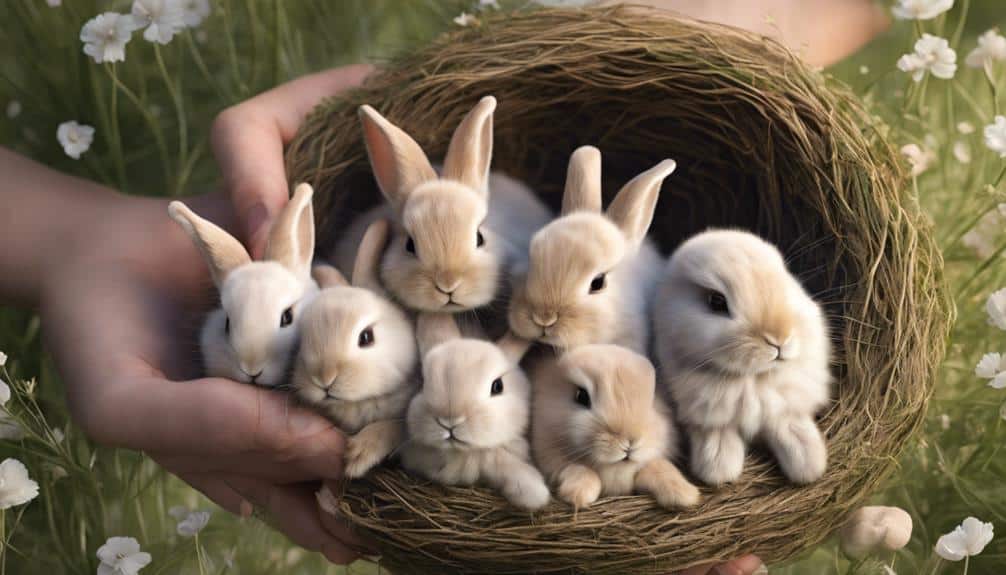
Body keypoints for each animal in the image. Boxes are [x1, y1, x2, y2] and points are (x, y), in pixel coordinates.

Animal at [531, 344, 700, 510]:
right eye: (581, 396)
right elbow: (578, 468)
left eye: (653, 398)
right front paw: (578, 494)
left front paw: (684, 495)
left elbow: (659, 466)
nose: (630, 441)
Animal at [653, 229, 832, 486]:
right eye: (716, 301)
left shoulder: (783, 408)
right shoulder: (706, 416)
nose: (779, 338)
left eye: (787, 279)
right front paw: (718, 469)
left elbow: (791, 428)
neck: (752, 379)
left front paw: (810, 467)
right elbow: (716, 437)